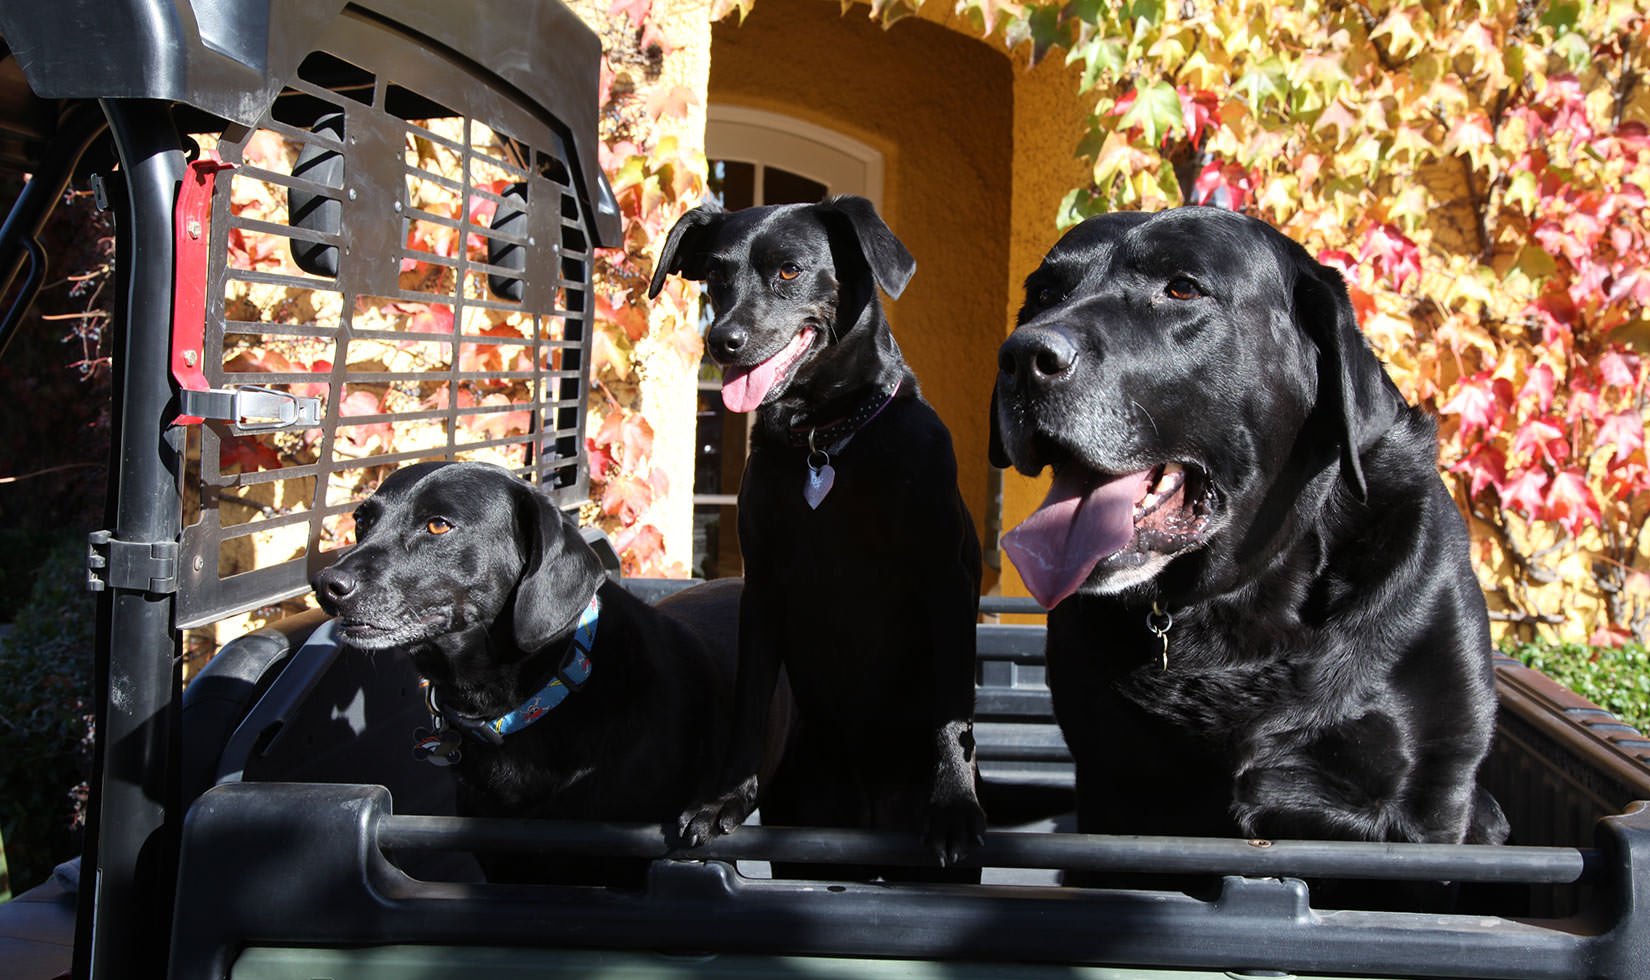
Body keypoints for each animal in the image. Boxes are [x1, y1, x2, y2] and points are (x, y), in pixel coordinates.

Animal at [643, 193, 983, 871]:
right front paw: (724, 799)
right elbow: (750, 702)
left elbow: (951, 706)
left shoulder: (946, 582)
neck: (826, 439)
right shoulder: (762, 589)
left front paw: (954, 807)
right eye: (715, 275)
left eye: (790, 270)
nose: (723, 341)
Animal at [983, 206, 1504, 884]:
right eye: (1044, 295)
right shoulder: (1113, 792)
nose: (1021, 357)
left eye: (1182, 288)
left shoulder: (1431, 806)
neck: (1242, 595)